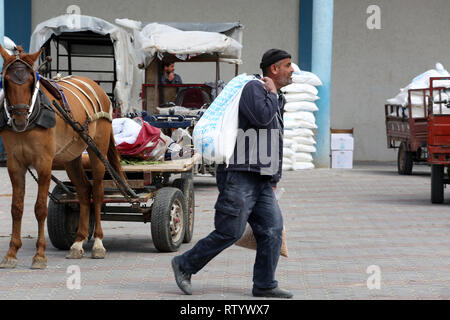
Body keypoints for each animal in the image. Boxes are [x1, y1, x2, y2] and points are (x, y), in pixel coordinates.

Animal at [0, 45, 125, 268]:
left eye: (31, 82)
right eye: (6, 81)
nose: (19, 119)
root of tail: (95, 85)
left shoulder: (44, 163)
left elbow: (40, 208)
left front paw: (39, 255)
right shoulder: (15, 164)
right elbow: (16, 207)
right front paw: (11, 253)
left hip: (97, 151)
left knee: (97, 193)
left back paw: (98, 243)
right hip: (71, 158)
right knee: (84, 191)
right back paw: (78, 242)